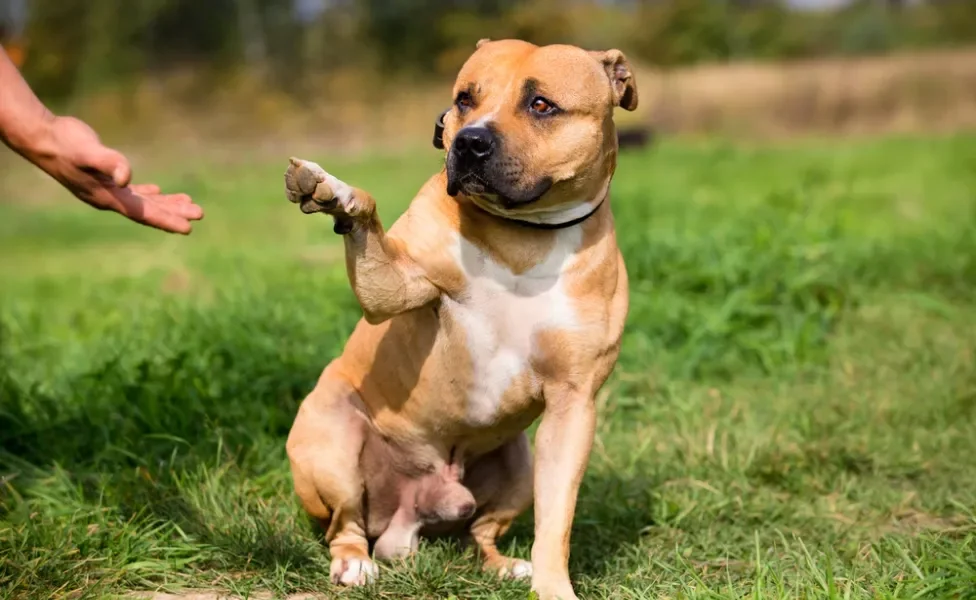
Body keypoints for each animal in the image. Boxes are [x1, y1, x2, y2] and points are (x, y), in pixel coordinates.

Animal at [284, 38, 632, 600]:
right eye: (465, 99)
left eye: (541, 105)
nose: (470, 142)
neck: (524, 236)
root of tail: (407, 518)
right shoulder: (396, 286)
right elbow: (368, 228)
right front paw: (337, 194)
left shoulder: (573, 405)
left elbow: (556, 520)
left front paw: (553, 586)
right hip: (333, 438)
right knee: (344, 524)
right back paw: (355, 564)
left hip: (517, 464)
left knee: (479, 534)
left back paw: (505, 565)